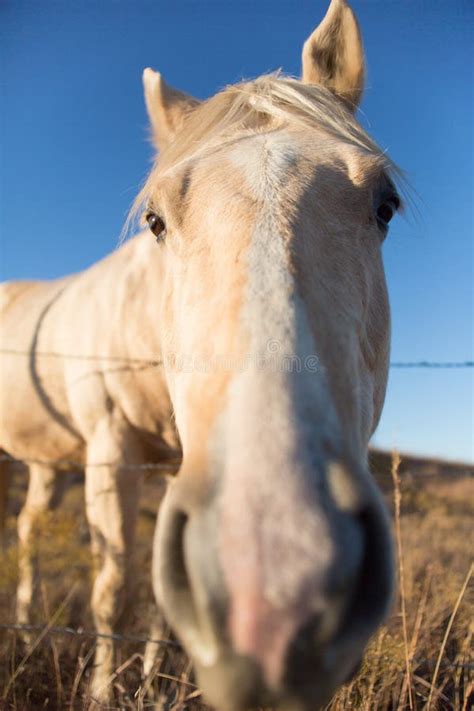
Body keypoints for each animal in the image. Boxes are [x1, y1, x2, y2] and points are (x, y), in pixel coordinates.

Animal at [0, 2, 402, 708]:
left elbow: (164, 605)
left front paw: (153, 683)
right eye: (156, 221)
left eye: (386, 206)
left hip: (46, 464)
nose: (277, 600)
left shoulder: (173, 471)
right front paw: (103, 691)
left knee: (26, 530)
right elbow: (113, 590)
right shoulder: (112, 450)